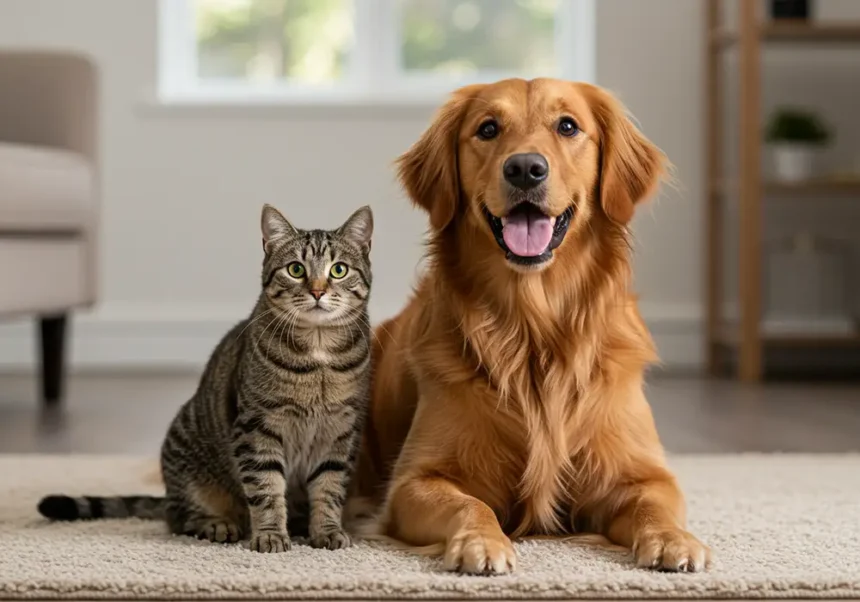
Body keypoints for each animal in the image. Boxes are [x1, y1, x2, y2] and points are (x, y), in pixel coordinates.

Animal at [38, 204, 372, 552]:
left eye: (338, 270)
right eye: (296, 269)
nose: (318, 290)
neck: (318, 355)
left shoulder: (341, 432)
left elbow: (329, 488)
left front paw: (327, 531)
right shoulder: (257, 427)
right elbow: (266, 489)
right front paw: (270, 535)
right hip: (188, 459)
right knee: (178, 517)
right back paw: (218, 524)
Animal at [352, 77, 708, 576]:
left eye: (568, 126)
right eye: (487, 129)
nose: (524, 169)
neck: (532, 330)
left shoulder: (644, 473)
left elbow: (652, 505)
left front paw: (674, 540)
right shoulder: (415, 481)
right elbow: (470, 504)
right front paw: (482, 542)